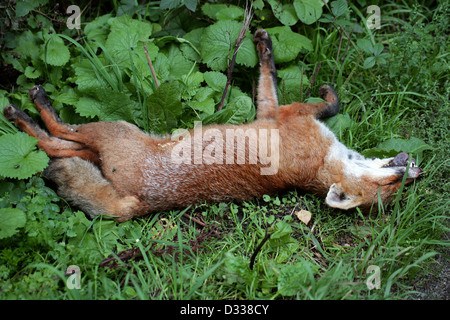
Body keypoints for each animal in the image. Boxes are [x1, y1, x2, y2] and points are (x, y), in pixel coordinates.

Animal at [2, 30, 422, 221]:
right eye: (394, 183)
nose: (415, 171)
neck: (323, 163)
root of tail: (142, 204)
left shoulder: (280, 114)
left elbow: (277, 84)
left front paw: (264, 47)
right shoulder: (280, 116)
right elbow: (330, 103)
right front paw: (268, 46)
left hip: (111, 132)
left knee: (58, 140)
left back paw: (27, 110)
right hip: (106, 144)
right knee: (60, 146)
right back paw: (31, 111)